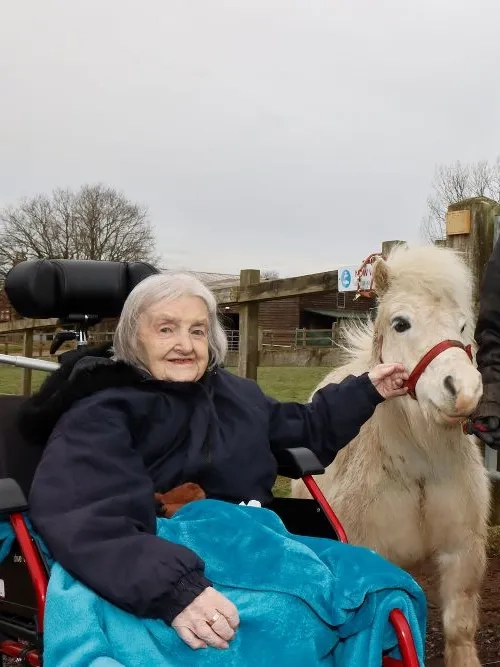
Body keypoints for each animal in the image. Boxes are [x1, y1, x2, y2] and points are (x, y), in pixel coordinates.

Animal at [290, 244, 490, 667]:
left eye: (463, 326)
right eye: (401, 323)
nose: (463, 391)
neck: (418, 469)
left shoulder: (461, 553)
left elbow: (459, 628)